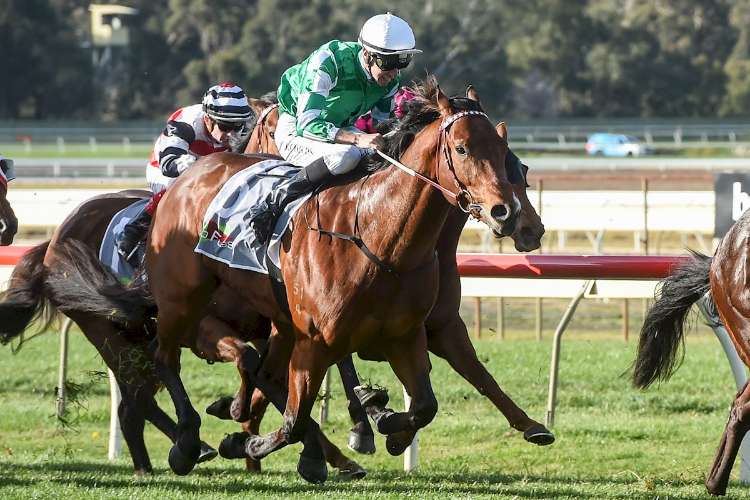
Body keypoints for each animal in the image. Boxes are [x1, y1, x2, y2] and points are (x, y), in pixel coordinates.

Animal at [49, 77, 523, 482]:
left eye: (505, 151)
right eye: (461, 148)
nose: (507, 213)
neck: (378, 237)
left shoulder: (404, 335)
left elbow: (424, 405)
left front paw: (386, 424)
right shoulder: (315, 339)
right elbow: (294, 417)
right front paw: (256, 444)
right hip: (178, 302)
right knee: (164, 361)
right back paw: (188, 443)